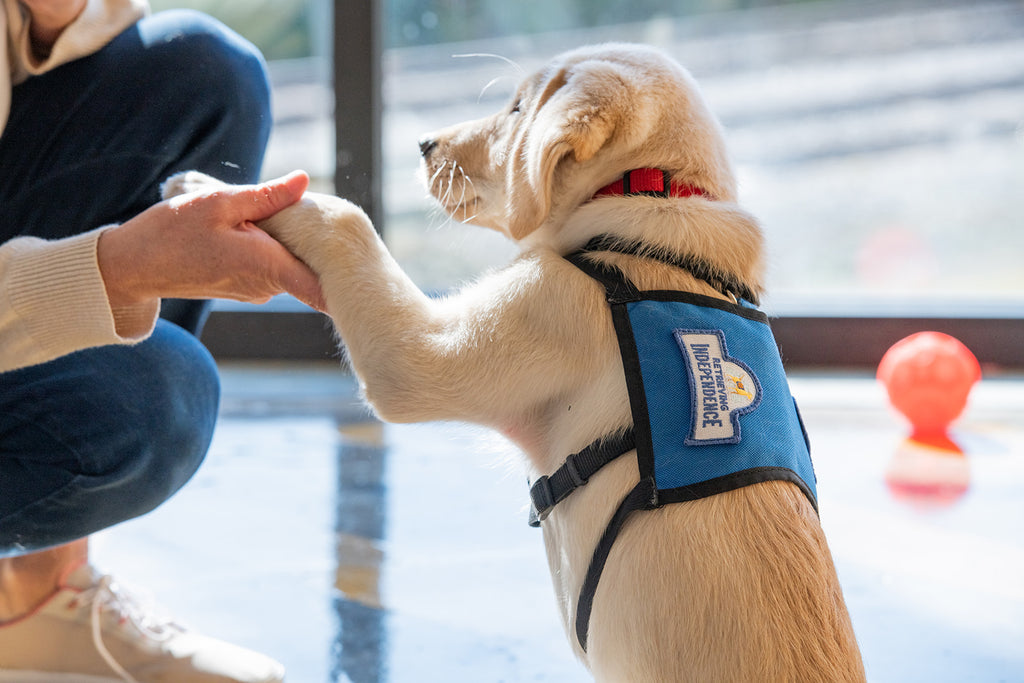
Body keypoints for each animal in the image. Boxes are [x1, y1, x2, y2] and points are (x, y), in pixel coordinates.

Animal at [165, 44, 864, 683]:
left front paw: (204, 192)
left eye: (518, 108)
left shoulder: (476, 334)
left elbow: (347, 219)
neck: (652, 204)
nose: (424, 143)